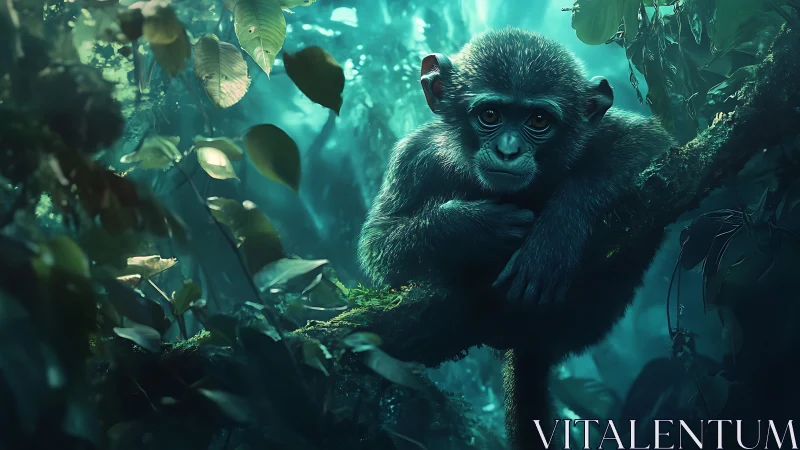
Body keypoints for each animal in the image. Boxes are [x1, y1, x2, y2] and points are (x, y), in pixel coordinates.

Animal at [357, 28, 675, 449]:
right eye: (490, 115)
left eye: (538, 120)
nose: (508, 150)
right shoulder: (412, 158)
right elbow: (380, 242)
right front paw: (475, 225)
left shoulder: (595, 132)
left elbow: (647, 139)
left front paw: (554, 234)